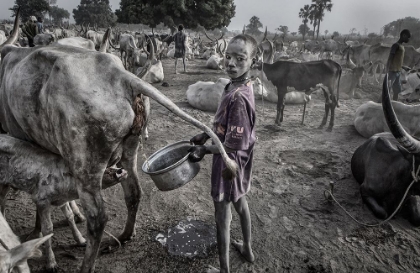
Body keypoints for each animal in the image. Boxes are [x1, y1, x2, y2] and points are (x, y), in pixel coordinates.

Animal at [0, 135, 128, 270]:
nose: (121, 169)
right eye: (98, 169)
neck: (68, 190)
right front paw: (52, 264)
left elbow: (70, 216)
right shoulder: (41, 200)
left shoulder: (62, 200)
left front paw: (82, 241)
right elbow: (48, 229)